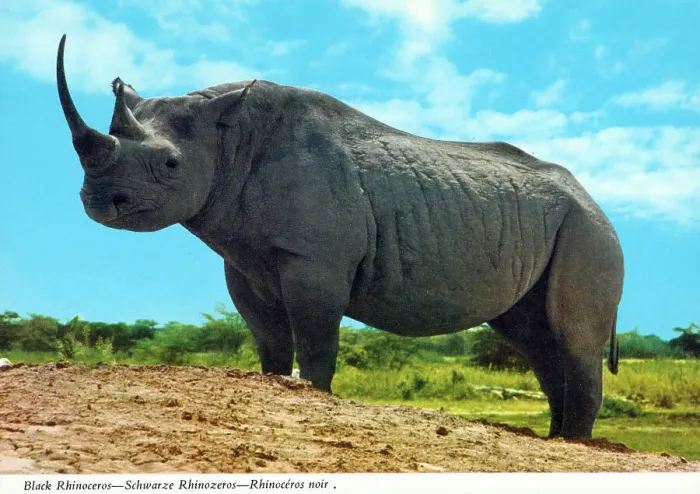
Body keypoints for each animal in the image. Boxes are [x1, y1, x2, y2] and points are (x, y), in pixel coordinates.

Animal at [56, 35, 623, 439]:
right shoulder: (243, 261)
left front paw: (314, 396)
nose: (101, 201)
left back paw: (570, 444)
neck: (228, 140)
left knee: (569, 335)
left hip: (589, 230)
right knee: (533, 335)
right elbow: (269, 341)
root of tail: (593, 198)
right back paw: (554, 439)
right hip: (558, 224)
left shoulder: (316, 260)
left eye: (171, 165)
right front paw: (274, 385)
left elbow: (315, 341)